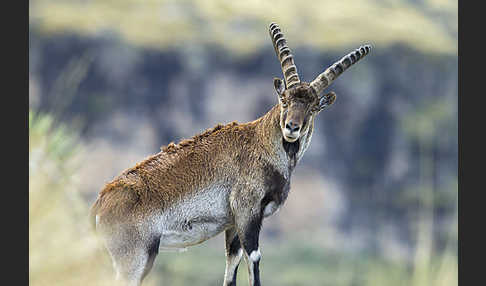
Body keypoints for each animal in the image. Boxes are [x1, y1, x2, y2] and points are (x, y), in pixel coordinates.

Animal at [90, 22, 372, 286]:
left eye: (313, 108)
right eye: (284, 100)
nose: (291, 127)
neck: (261, 144)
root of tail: (100, 204)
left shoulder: (233, 224)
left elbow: (232, 265)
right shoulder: (247, 210)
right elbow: (254, 257)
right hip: (134, 257)